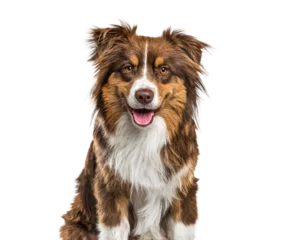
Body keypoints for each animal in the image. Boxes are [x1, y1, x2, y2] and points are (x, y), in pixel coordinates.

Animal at [57, 15, 217, 239]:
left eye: (164, 69)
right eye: (128, 68)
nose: (144, 95)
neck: (145, 136)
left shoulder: (183, 192)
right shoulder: (111, 192)